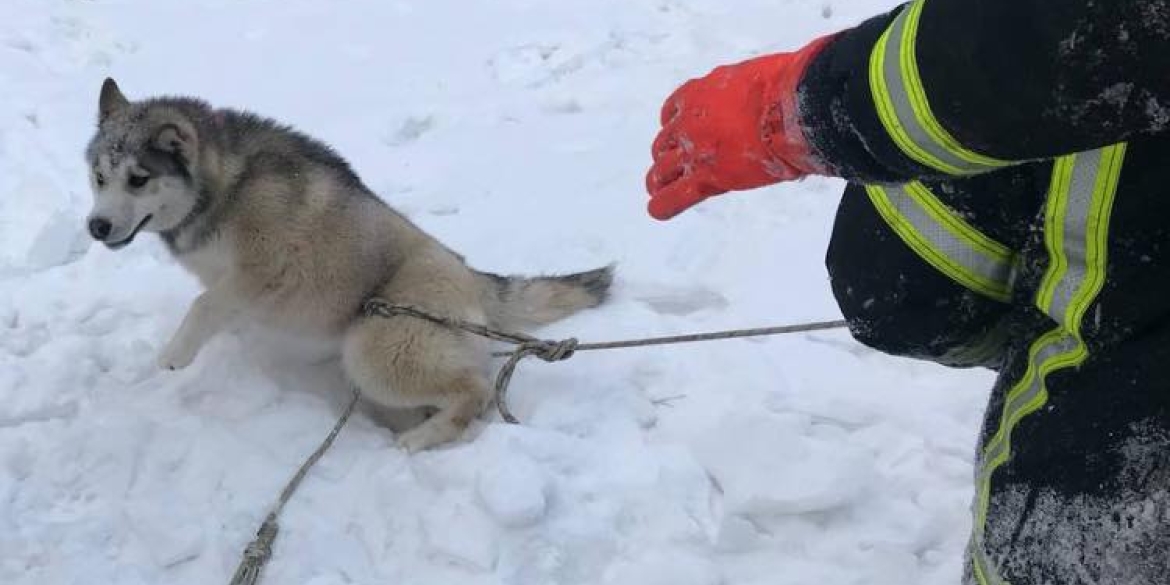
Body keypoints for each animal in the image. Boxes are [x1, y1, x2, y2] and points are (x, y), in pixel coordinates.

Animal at [84, 77, 613, 451]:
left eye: (138, 178)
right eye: (98, 177)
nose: (96, 226)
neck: (224, 190)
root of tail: (471, 275)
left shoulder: (268, 268)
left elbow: (203, 304)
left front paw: (176, 353)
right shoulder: (226, 276)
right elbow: (216, 305)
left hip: (375, 345)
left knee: (474, 389)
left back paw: (418, 439)